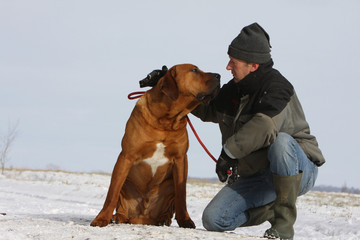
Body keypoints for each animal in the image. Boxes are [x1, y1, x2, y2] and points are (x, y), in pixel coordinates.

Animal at [90, 64, 219, 229]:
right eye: (195, 70)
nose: (219, 76)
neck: (166, 121)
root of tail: (143, 216)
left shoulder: (180, 159)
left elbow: (182, 195)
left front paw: (185, 220)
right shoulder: (126, 156)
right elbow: (111, 193)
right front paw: (101, 218)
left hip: (169, 186)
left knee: (170, 208)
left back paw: (162, 220)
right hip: (126, 181)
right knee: (121, 203)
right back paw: (118, 217)